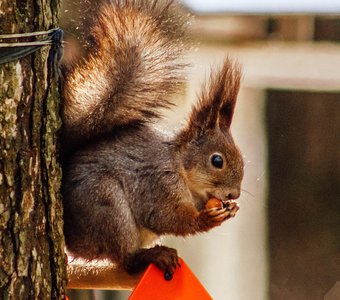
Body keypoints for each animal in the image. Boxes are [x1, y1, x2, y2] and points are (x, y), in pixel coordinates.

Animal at [59, 0, 243, 278]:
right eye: (217, 161)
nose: (235, 194)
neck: (182, 169)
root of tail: (73, 241)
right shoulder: (157, 183)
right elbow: (166, 217)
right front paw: (204, 219)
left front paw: (229, 209)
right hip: (107, 207)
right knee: (124, 258)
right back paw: (152, 255)